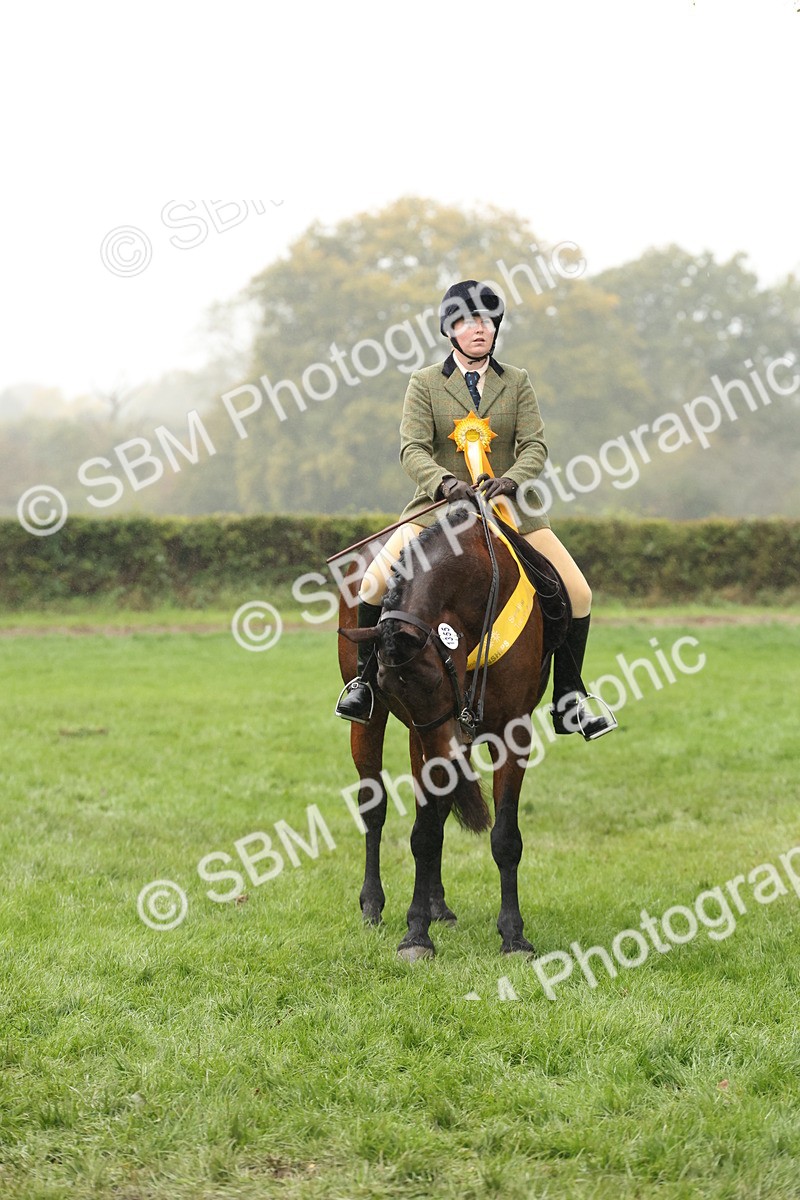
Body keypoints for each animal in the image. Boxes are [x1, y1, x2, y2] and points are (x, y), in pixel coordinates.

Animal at [337, 499, 554, 961]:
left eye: (436, 680)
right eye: (385, 683)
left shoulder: (512, 731)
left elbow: (503, 836)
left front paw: (514, 936)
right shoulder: (426, 733)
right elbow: (424, 833)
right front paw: (416, 934)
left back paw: (438, 906)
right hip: (381, 726)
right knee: (375, 806)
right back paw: (373, 905)